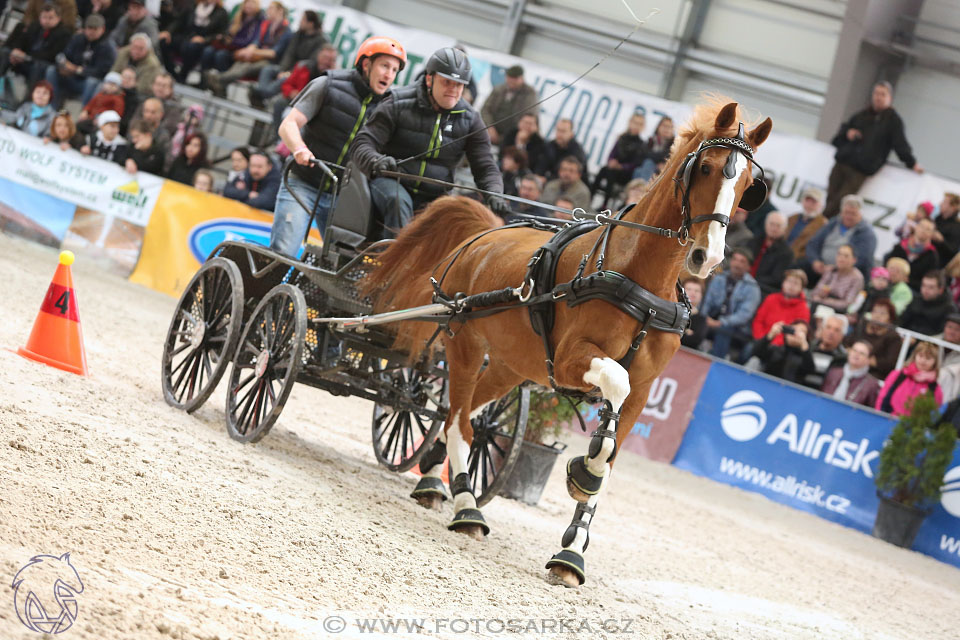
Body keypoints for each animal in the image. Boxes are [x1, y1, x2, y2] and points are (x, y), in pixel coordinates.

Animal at [362, 99, 772, 584]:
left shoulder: (644, 389)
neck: (638, 279)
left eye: (747, 185)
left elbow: (611, 457)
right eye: (705, 168)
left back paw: (432, 482)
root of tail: (487, 231)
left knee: (460, 414)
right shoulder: (572, 359)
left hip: (511, 365)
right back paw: (466, 508)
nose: (707, 257)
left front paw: (571, 553)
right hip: (466, 343)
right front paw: (584, 471)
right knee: (460, 419)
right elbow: (613, 391)